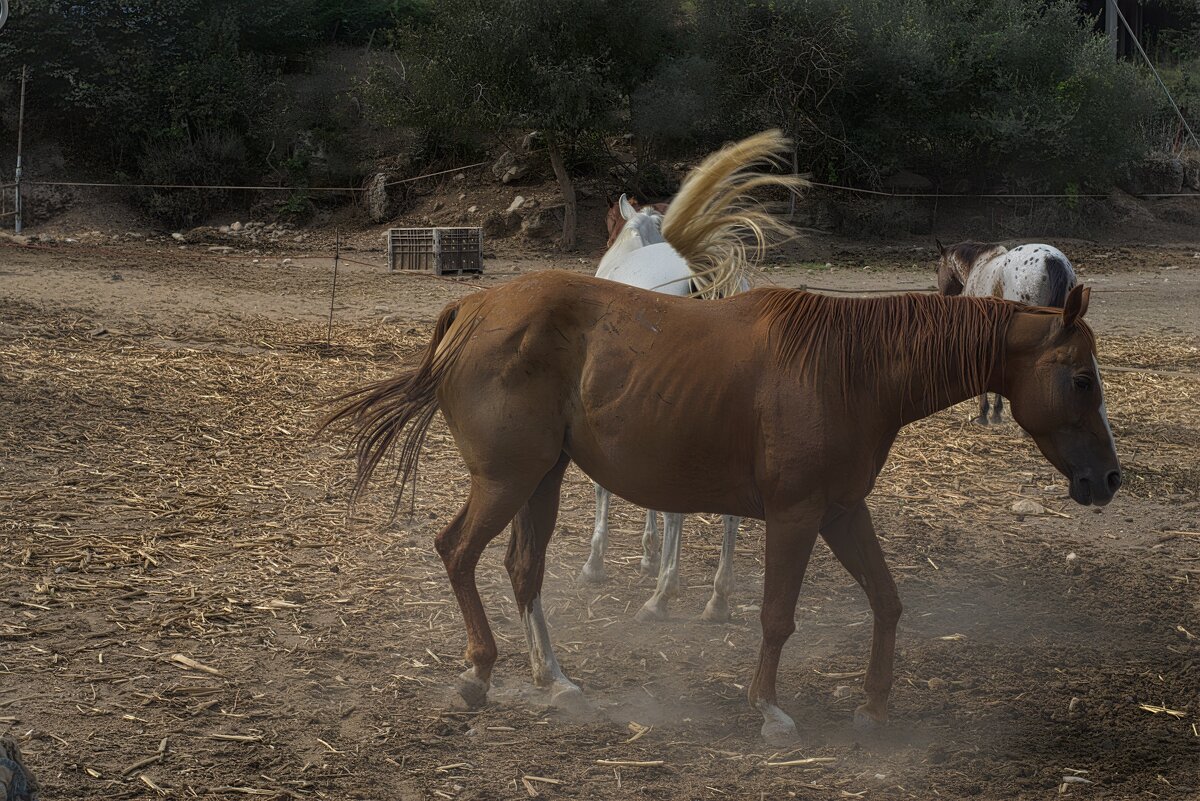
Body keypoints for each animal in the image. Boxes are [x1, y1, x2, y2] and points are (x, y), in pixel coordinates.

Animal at [324, 272, 1118, 743]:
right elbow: (777, 616)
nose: (1107, 480)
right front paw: (768, 709)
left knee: (523, 570)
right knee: (458, 552)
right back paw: (477, 675)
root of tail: (473, 307)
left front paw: (875, 706)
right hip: (506, 481)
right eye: (1081, 379)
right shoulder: (798, 516)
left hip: (540, 481)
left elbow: (888, 602)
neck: (852, 368)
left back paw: (556, 680)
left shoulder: (842, 512)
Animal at [936, 237, 1080, 424]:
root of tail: (1051, 259)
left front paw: (984, 413)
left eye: (938, 267)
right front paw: (996, 412)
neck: (979, 264)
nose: (941, 295)